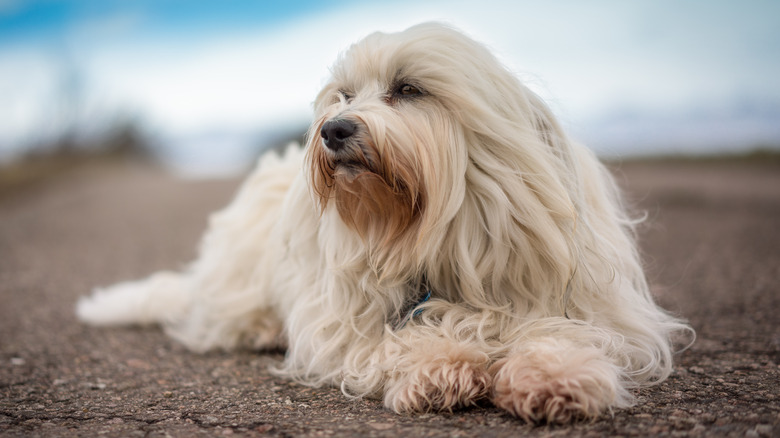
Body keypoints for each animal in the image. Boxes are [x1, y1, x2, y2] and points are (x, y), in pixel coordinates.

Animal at [76, 22, 692, 422]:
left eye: (408, 89)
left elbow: (558, 330)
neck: (432, 232)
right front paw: (440, 364)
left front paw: (556, 374)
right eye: (344, 95)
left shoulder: (583, 302)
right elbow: (392, 341)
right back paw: (264, 327)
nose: (334, 129)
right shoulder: (342, 325)